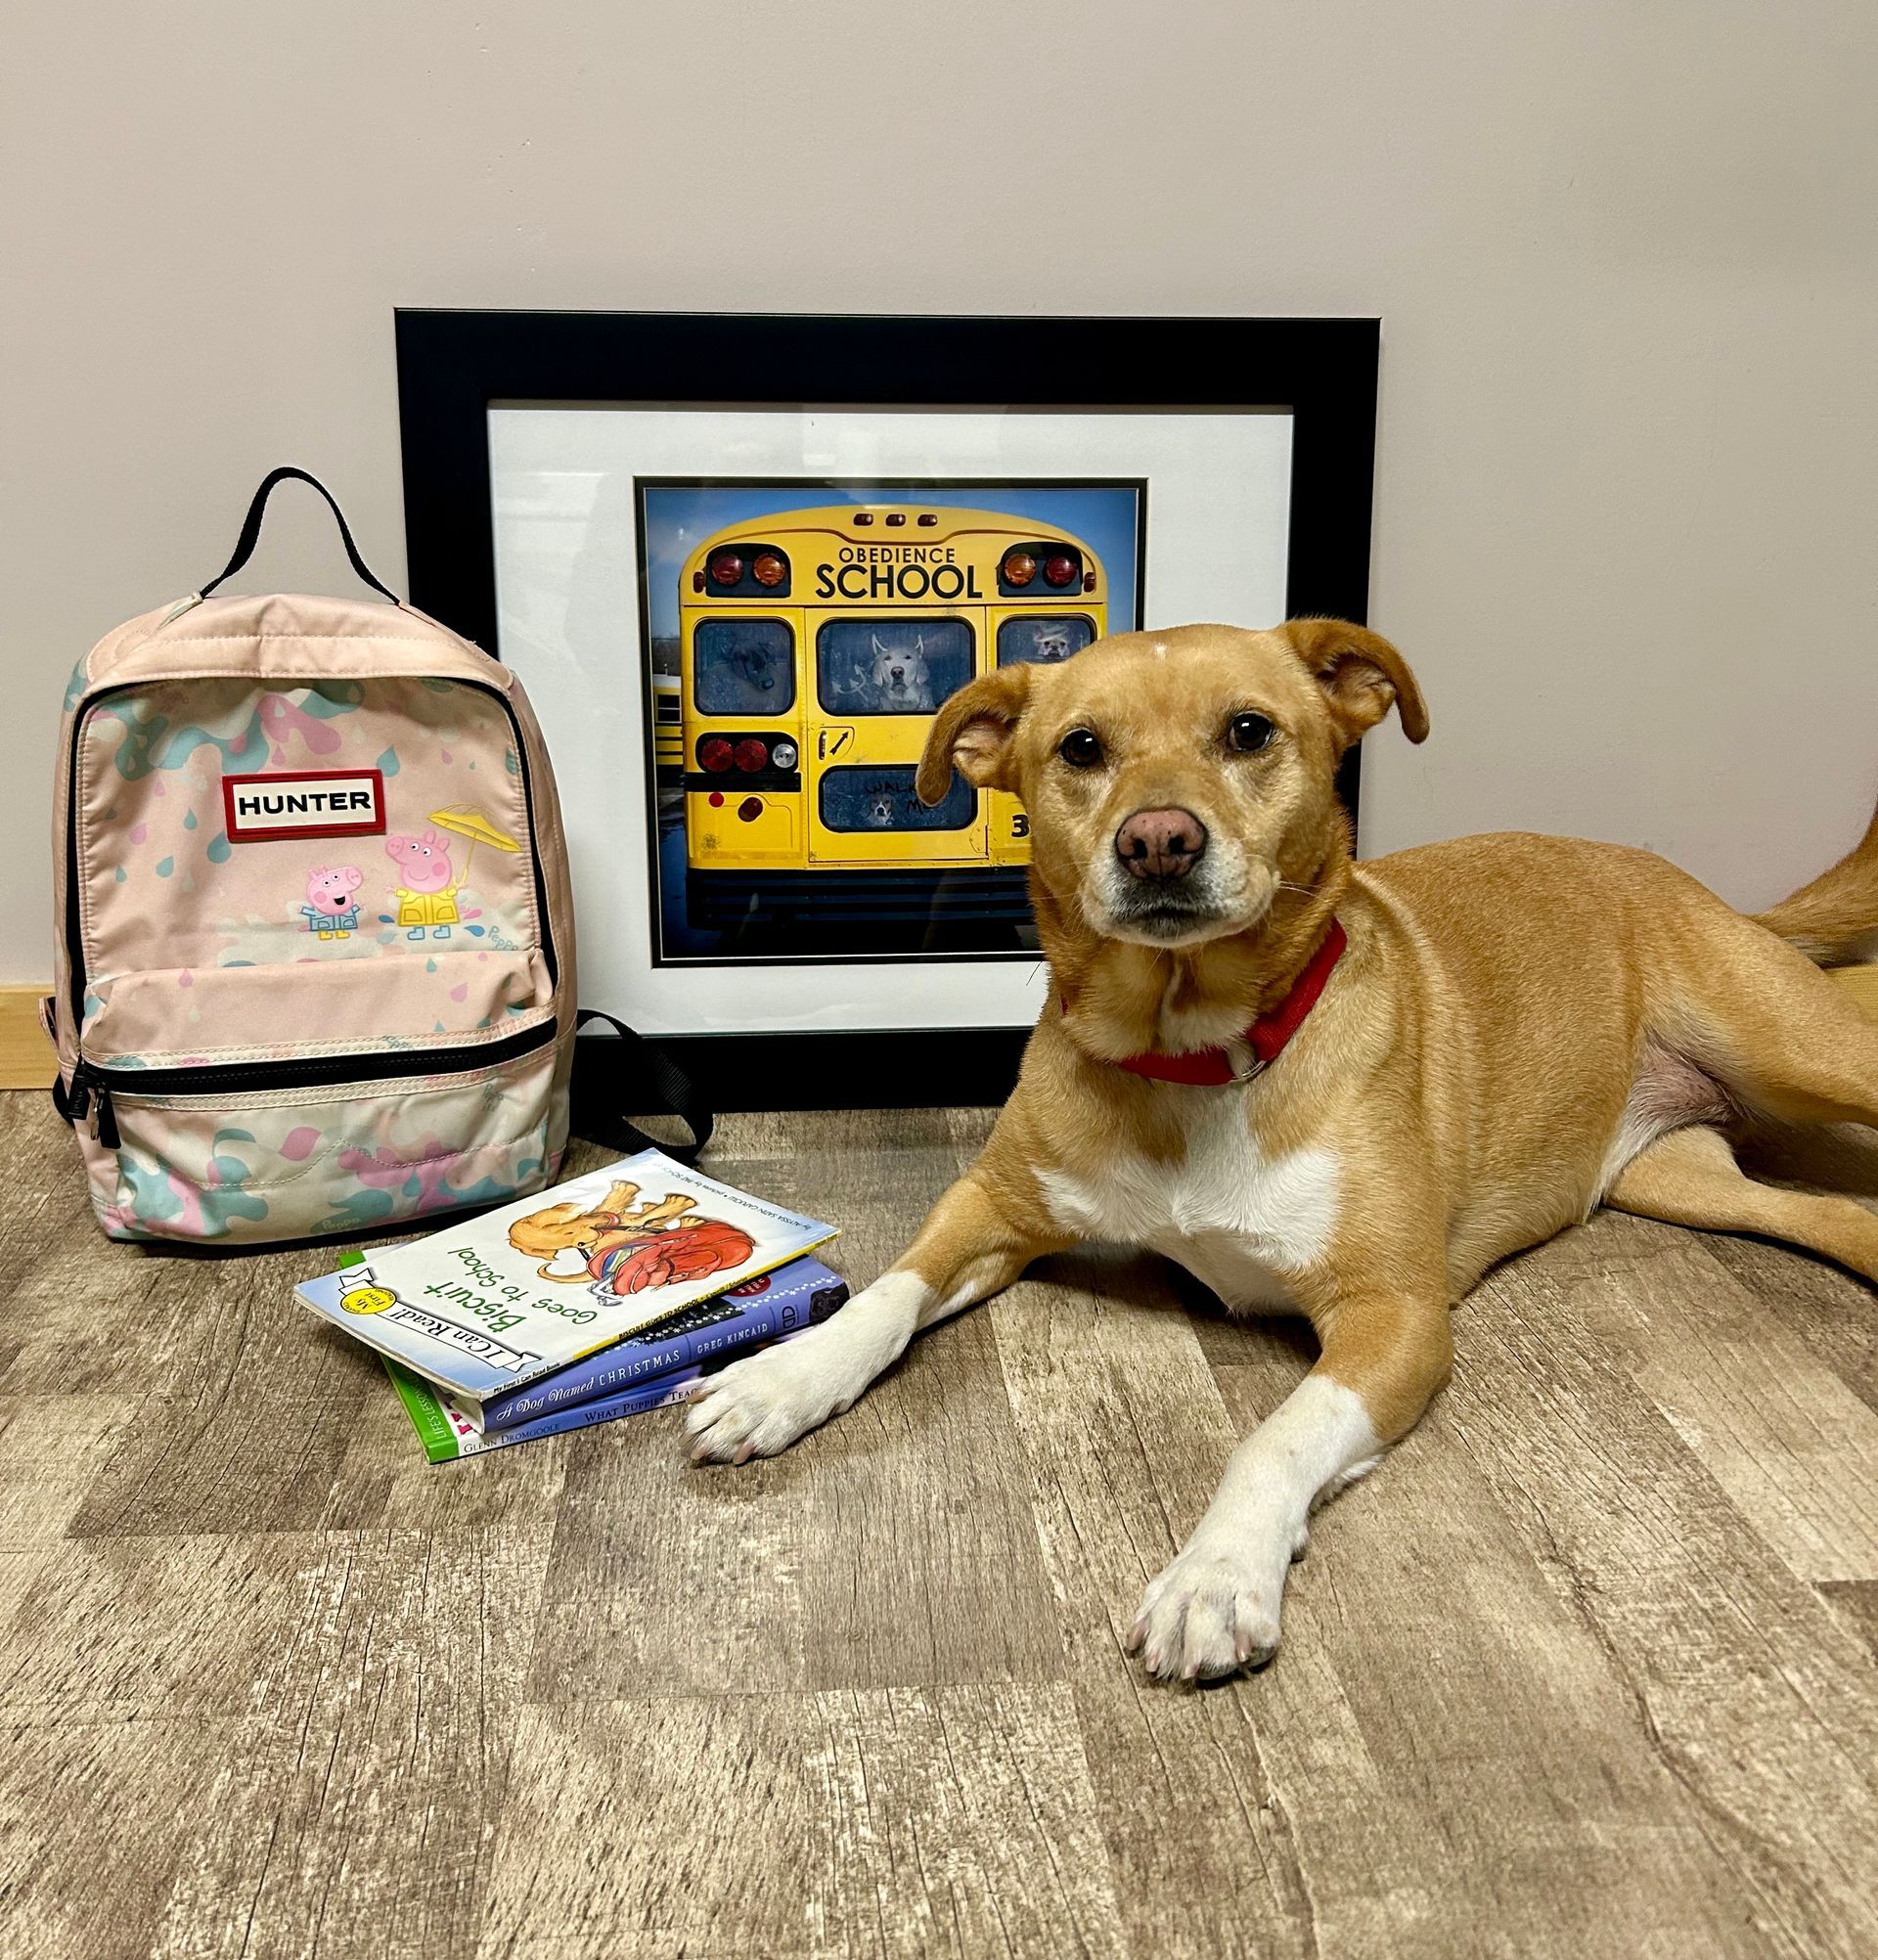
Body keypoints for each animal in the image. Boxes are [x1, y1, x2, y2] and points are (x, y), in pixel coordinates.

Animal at [686, 623, 1878, 1685]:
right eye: (1082, 748)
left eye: (1249, 731)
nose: (1158, 840)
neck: (1189, 1061)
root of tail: (1709, 892)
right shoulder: (993, 1204)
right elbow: (888, 1293)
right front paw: (782, 1377)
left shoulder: (1393, 1315)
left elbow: (1275, 1436)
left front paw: (1216, 1577)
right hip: (1685, 1182)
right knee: (1840, 1214)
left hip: (1797, 1049)